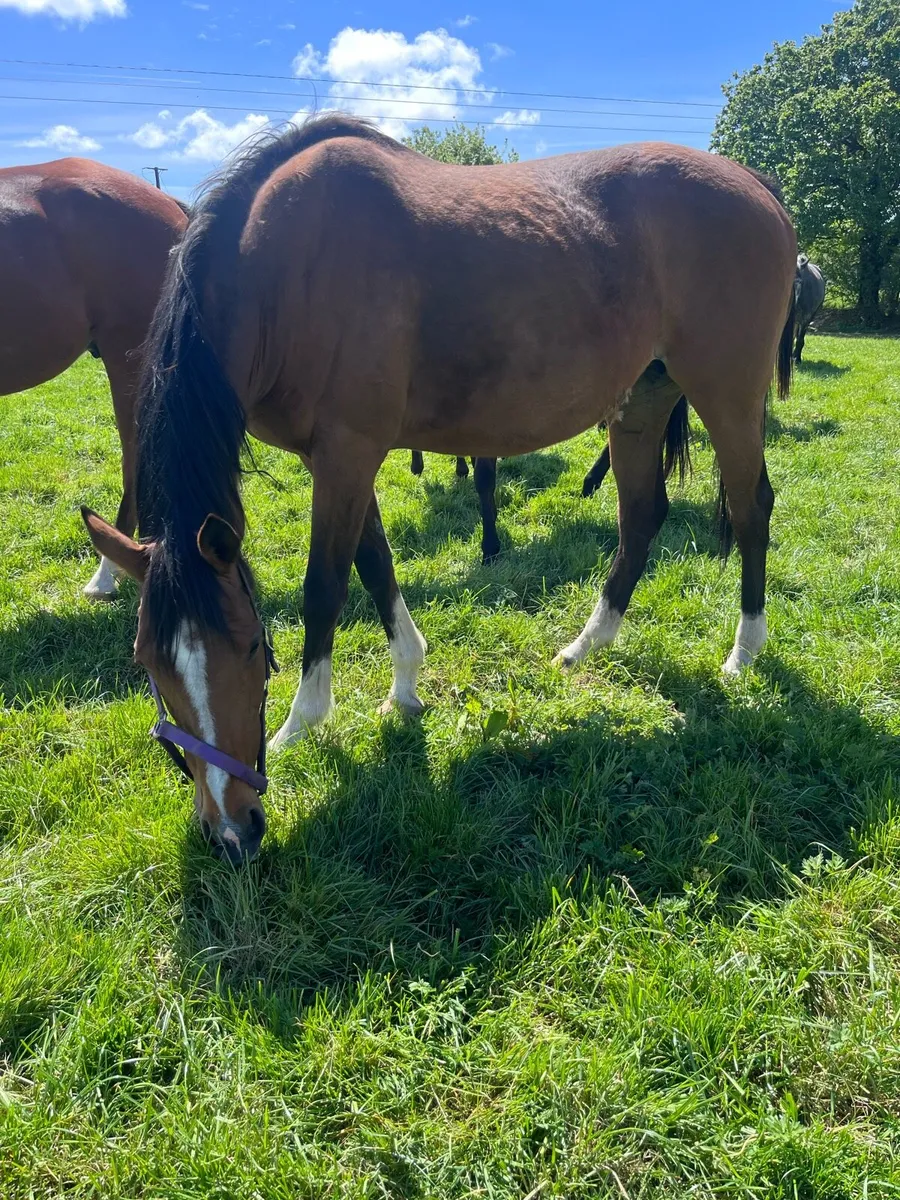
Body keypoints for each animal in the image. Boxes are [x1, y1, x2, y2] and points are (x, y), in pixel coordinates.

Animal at [81, 114, 796, 863]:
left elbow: (325, 587)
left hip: (728, 395)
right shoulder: (339, 458)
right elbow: (376, 566)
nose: (230, 831)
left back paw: (743, 651)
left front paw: (303, 723)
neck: (285, 265)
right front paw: (404, 687)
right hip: (641, 399)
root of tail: (758, 186)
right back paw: (588, 644)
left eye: (251, 649)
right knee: (641, 517)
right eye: (148, 662)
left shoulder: (347, 454)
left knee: (752, 510)